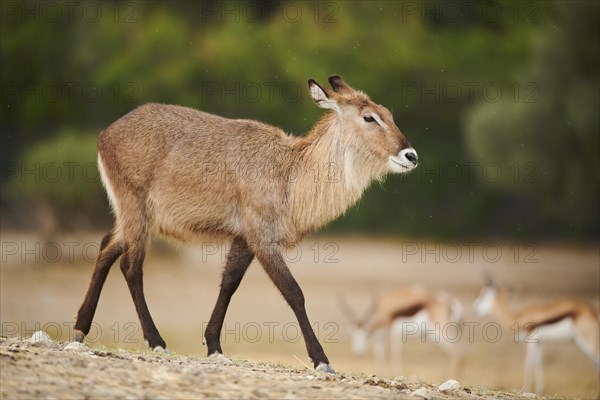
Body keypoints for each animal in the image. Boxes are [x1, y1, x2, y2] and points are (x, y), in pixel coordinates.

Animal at [71, 74, 418, 372]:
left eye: (388, 113)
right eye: (369, 117)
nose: (411, 155)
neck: (289, 174)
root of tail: (107, 133)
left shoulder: (243, 238)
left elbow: (229, 283)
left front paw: (213, 345)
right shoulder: (263, 238)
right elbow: (294, 292)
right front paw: (321, 360)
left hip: (132, 216)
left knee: (105, 248)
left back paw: (80, 330)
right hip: (135, 208)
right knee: (130, 266)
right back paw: (156, 341)